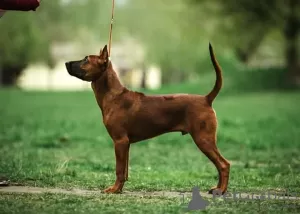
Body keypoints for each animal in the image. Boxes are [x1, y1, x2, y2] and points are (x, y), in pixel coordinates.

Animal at [65, 43, 230, 194]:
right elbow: (124, 171)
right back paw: (218, 188)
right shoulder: (125, 144)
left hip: (203, 139)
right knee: (220, 165)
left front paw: (114, 189)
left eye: (86, 59)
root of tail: (206, 99)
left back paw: (221, 190)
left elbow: (119, 170)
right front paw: (119, 189)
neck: (113, 96)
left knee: (224, 164)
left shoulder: (120, 141)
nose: (66, 63)